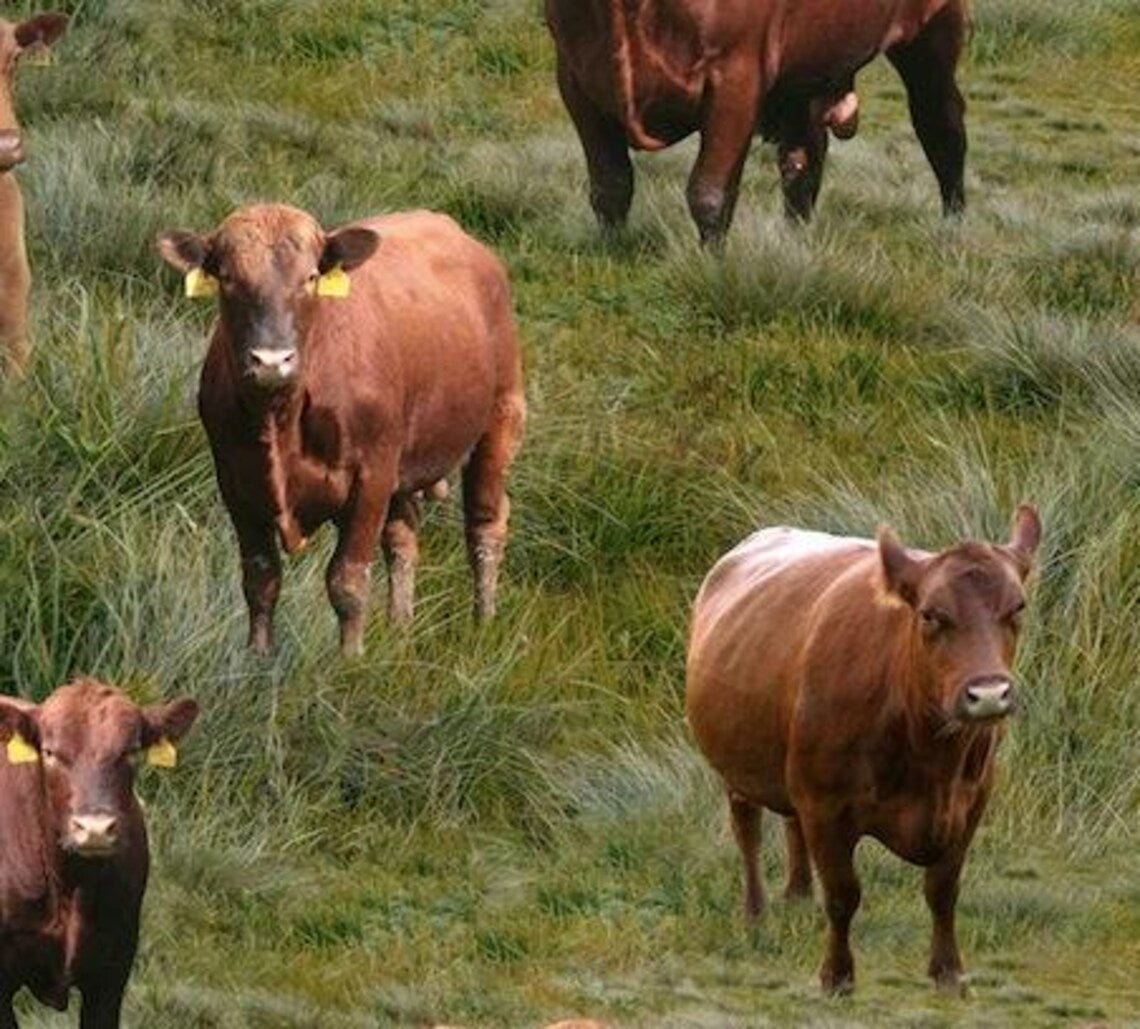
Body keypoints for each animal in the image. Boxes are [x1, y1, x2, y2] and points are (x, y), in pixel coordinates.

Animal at [157, 204, 526, 656]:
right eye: (227, 277)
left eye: (311, 277)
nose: (271, 361)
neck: (279, 421)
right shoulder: (235, 483)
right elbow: (260, 579)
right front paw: (258, 656)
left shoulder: (371, 477)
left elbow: (347, 581)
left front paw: (350, 659)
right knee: (402, 538)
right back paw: (401, 625)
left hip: (500, 418)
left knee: (485, 525)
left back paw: (483, 620)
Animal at [545, 0, 970, 244]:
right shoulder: (574, 75)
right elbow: (610, 184)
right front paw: (609, 250)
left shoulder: (736, 72)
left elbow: (709, 192)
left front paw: (711, 268)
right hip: (805, 74)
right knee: (803, 159)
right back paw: (795, 241)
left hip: (931, 37)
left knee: (942, 127)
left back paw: (954, 228)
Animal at [685, 506, 1041, 994]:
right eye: (930, 614)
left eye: (1017, 607)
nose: (988, 694)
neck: (930, 757)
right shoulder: (826, 806)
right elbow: (843, 895)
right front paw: (837, 976)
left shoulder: (971, 803)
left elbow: (943, 890)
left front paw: (948, 972)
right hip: (738, 771)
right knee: (748, 832)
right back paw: (757, 915)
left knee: (791, 825)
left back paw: (798, 897)